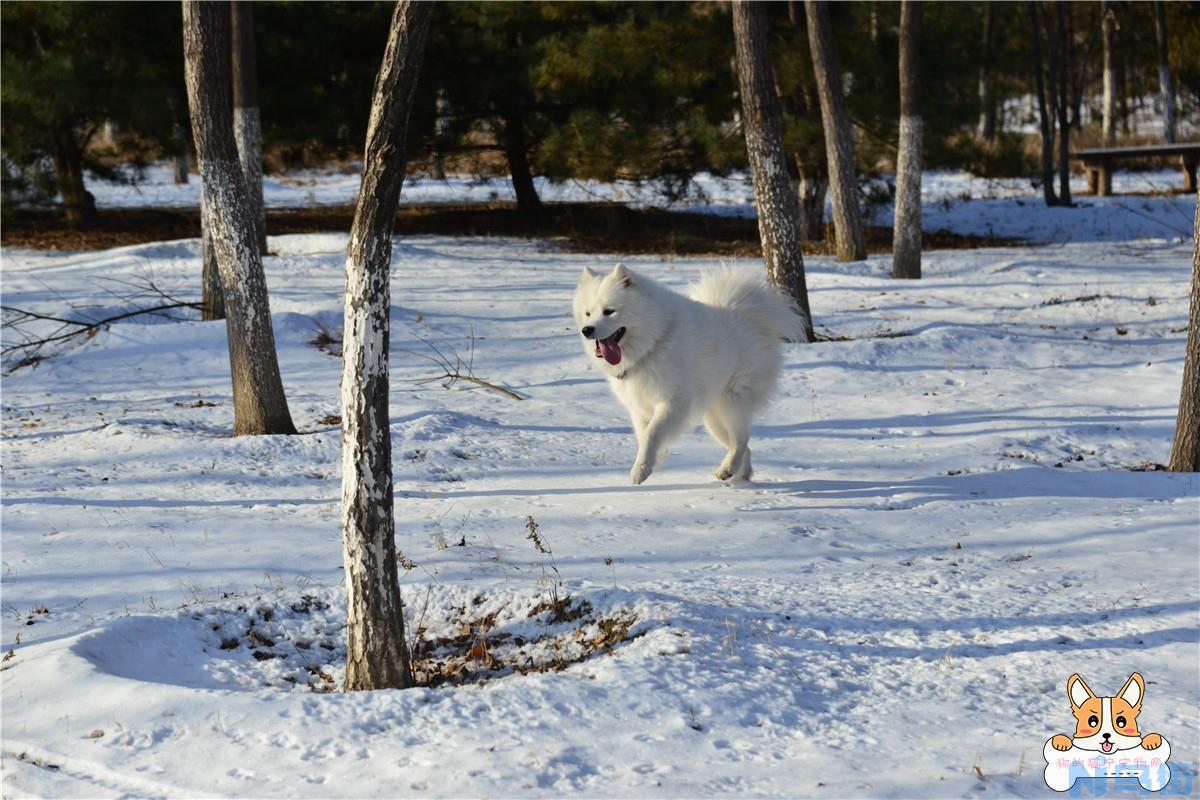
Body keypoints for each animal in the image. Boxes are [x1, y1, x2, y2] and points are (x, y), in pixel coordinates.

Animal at [571, 266, 806, 484]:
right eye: (588, 313)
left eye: (609, 311)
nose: (587, 330)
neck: (653, 343)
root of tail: (749, 317)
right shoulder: (638, 409)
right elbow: (643, 435)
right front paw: (654, 458)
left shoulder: (673, 403)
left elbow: (652, 434)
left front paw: (641, 470)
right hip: (713, 419)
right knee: (743, 444)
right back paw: (739, 475)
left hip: (731, 402)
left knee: (740, 440)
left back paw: (727, 469)